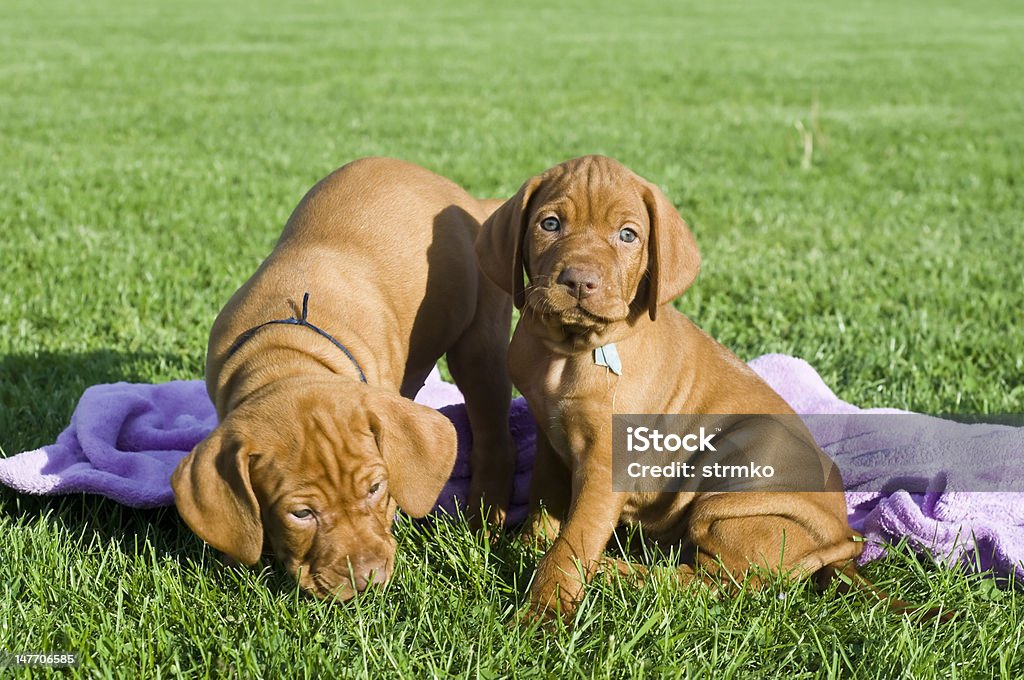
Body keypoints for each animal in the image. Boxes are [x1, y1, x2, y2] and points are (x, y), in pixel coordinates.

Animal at [173, 157, 520, 602]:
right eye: (301, 513)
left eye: (374, 488)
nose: (367, 579)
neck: (288, 357)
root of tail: (471, 201)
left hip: (479, 344)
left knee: (494, 436)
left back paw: (485, 519)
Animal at [477, 153, 937, 622]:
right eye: (550, 224)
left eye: (628, 235)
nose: (579, 281)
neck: (570, 350)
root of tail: (844, 543)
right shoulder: (551, 438)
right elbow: (544, 509)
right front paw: (525, 548)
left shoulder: (607, 465)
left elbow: (574, 541)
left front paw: (544, 611)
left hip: (732, 487)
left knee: (711, 583)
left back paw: (613, 570)